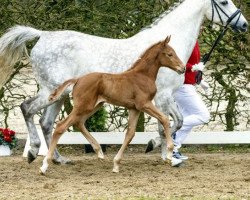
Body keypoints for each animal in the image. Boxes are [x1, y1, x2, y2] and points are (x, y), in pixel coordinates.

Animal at [40, 36, 186, 174]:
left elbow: (130, 134)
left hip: (94, 106)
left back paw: (99, 152)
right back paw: (44, 166)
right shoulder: (144, 104)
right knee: (61, 126)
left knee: (79, 123)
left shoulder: (134, 109)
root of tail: (78, 79)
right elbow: (165, 119)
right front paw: (169, 154)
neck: (143, 76)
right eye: (170, 54)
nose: (182, 68)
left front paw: (116, 164)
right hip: (83, 106)